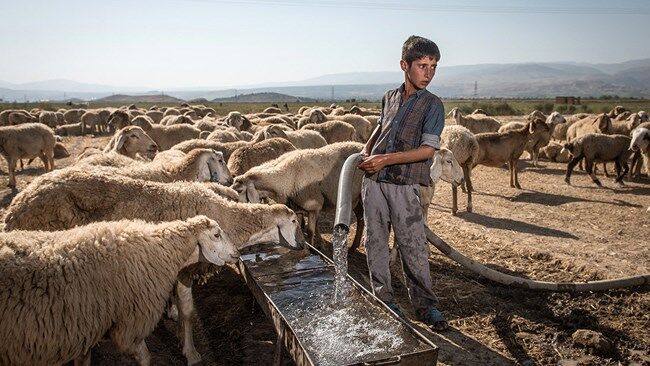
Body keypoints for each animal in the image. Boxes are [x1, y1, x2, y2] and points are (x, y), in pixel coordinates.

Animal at [229, 140, 364, 249]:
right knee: (361, 219)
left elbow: (310, 231)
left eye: (240, 190)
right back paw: (354, 246)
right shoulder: (297, 207)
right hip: (356, 200)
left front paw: (312, 249)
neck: (288, 176)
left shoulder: (313, 206)